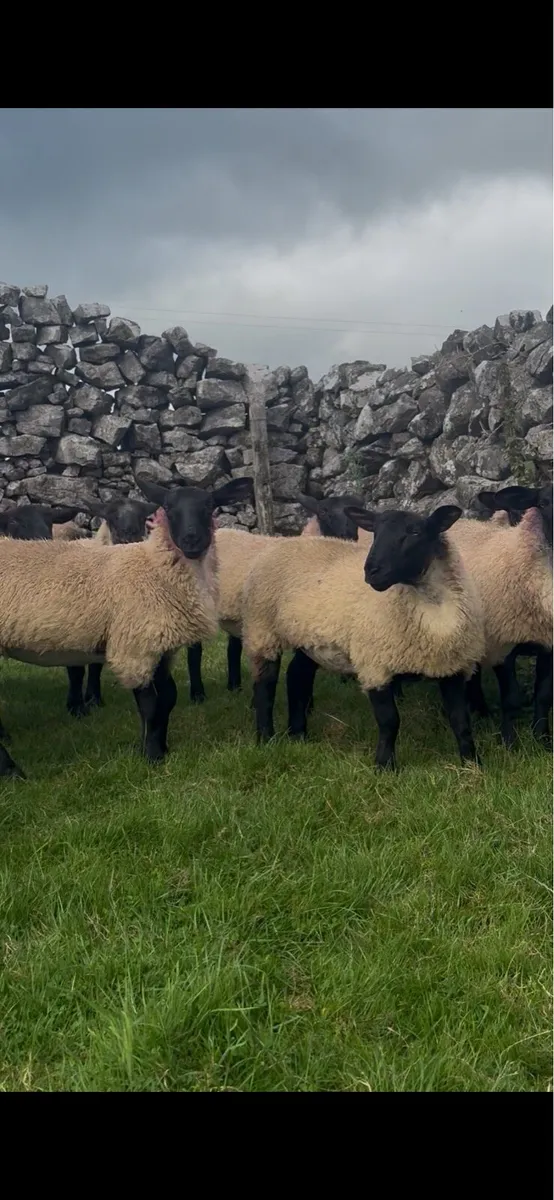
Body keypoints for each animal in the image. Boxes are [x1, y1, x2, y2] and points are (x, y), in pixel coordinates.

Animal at [0, 475, 254, 779]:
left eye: (209, 506)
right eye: (168, 508)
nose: (191, 540)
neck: (154, 569)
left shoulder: (161, 646)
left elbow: (168, 698)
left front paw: (159, 746)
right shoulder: (135, 645)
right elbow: (150, 704)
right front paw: (152, 755)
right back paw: (11, 770)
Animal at [185, 492, 366, 704]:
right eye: (323, 511)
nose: (349, 535)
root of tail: (222, 530)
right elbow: (302, 671)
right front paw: (308, 705)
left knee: (233, 648)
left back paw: (234, 687)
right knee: (195, 651)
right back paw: (198, 695)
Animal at [241, 503, 485, 770]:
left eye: (415, 531)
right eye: (375, 532)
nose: (371, 571)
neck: (434, 611)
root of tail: (285, 542)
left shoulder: (452, 668)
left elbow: (461, 721)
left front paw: (472, 764)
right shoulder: (375, 666)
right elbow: (390, 721)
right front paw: (385, 766)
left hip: (306, 639)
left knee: (297, 676)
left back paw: (298, 735)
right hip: (262, 629)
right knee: (265, 686)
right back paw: (266, 738)